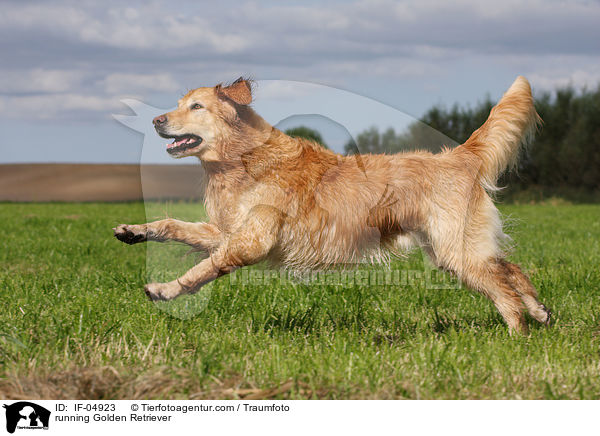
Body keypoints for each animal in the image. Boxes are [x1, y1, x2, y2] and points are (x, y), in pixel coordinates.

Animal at [112, 76, 548, 334]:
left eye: (196, 107)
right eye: (180, 103)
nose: (155, 120)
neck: (244, 161)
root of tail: (459, 155)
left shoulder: (251, 242)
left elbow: (200, 271)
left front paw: (164, 289)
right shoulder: (225, 231)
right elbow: (174, 226)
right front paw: (134, 231)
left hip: (455, 250)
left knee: (503, 292)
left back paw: (516, 337)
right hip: (453, 249)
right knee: (509, 269)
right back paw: (540, 311)